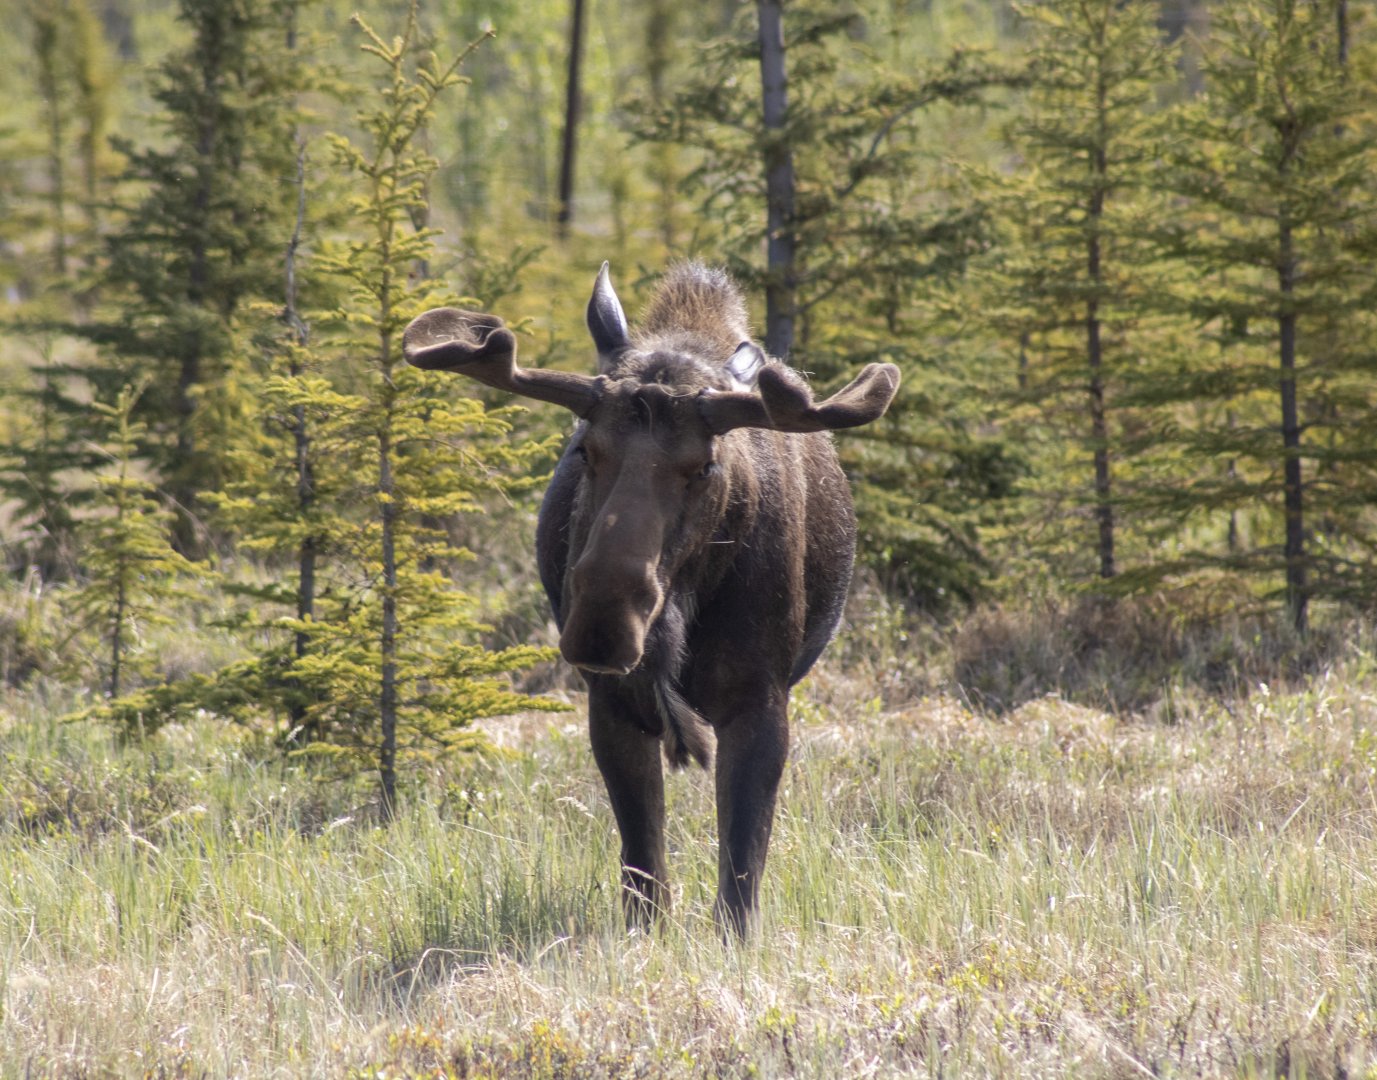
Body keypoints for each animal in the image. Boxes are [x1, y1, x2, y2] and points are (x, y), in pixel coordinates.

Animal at [403, 262, 899, 935]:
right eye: (584, 448)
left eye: (705, 466)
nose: (603, 625)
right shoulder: (612, 701)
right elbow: (643, 869)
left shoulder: (761, 698)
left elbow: (741, 870)